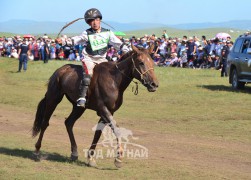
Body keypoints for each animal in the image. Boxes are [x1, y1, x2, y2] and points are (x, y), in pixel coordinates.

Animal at [31, 44, 159, 168]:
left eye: (152, 62)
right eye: (141, 62)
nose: (154, 84)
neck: (114, 80)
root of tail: (60, 70)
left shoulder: (108, 112)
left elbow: (98, 133)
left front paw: (91, 158)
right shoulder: (103, 109)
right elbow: (116, 129)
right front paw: (118, 158)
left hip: (78, 107)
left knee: (69, 123)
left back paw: (74, 152)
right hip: (53, 99)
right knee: (45, 123)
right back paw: (37, 150)